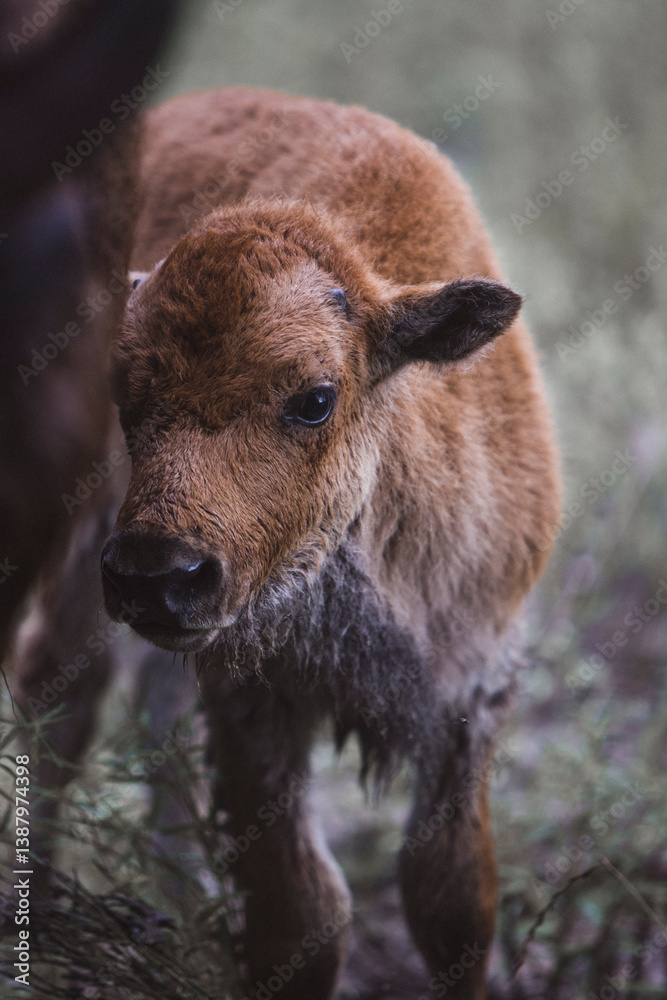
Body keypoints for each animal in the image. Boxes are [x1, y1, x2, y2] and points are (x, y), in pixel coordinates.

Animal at [100, 87, 561, 1000]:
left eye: (314, 399)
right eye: (122, 396)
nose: (157, 575)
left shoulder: (471, 694)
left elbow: (451, 900)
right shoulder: (250, 699)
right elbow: (304, 915)